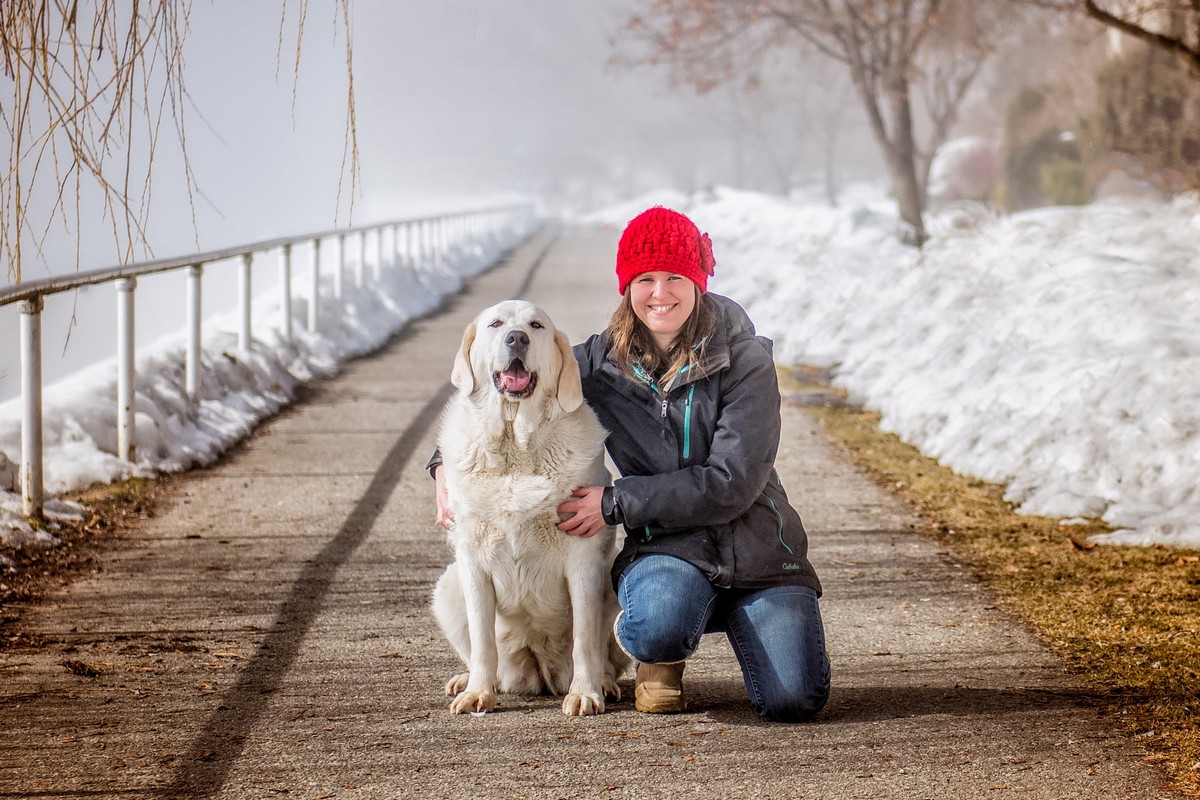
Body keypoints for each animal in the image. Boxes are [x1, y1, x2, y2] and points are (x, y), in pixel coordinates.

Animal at [436, 302, 633, 719]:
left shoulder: (583, 558)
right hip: (448, 584)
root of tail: (540, 671)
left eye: (536, 325)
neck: (515, 445)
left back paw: (604, 684)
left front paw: (586, 693)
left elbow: (585, 638)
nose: (517, 338)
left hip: (611, 571)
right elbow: (482, 639)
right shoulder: (472, 561)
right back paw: (470, 680)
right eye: (496, 324)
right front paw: (478, 692)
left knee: (603, 655)